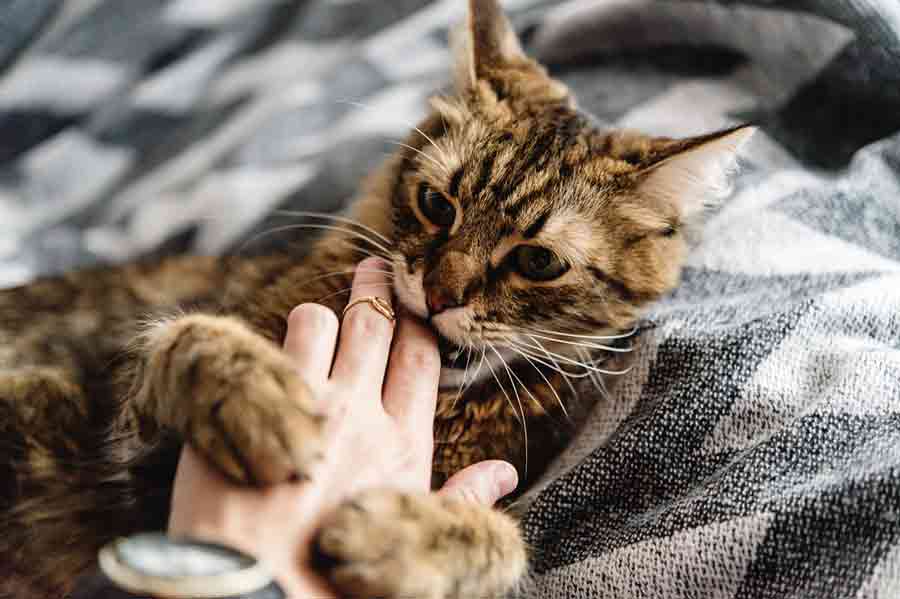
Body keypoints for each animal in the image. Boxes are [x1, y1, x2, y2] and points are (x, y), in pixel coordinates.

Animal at [0, 1, 752, 599]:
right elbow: (188, 334)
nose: (442, 291)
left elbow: (504, 541)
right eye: (436, 204)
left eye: (537, 261)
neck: (450, 409)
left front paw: (398, 540)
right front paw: (261, 401)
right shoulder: (131, 440)